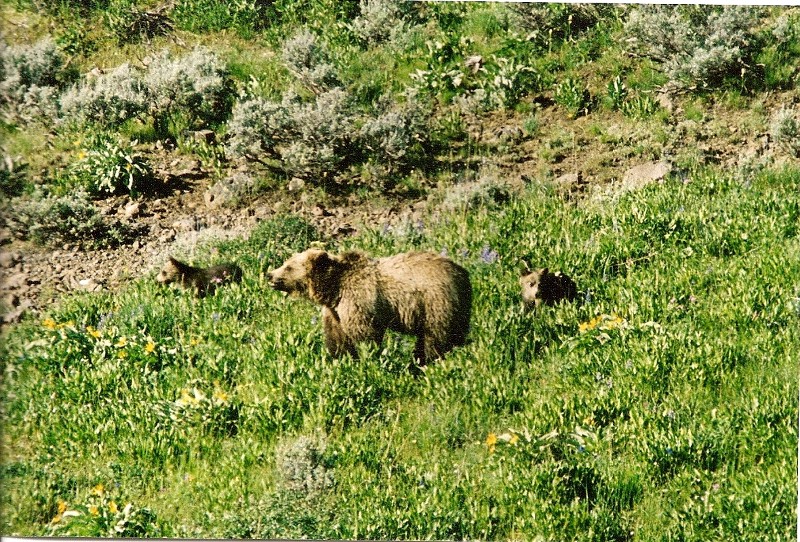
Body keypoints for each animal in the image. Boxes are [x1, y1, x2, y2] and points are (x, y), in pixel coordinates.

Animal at [266, 249, 472, 368]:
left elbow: (365, 334)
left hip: (435, 302)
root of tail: (462, 273)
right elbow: (337, 337)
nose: (269, 275)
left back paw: (425, 360)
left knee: (436, 336)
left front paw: (368, 358)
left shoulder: (358, 301)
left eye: (288, 266)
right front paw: (341, 359)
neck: (334, 288)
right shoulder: (335, 311)